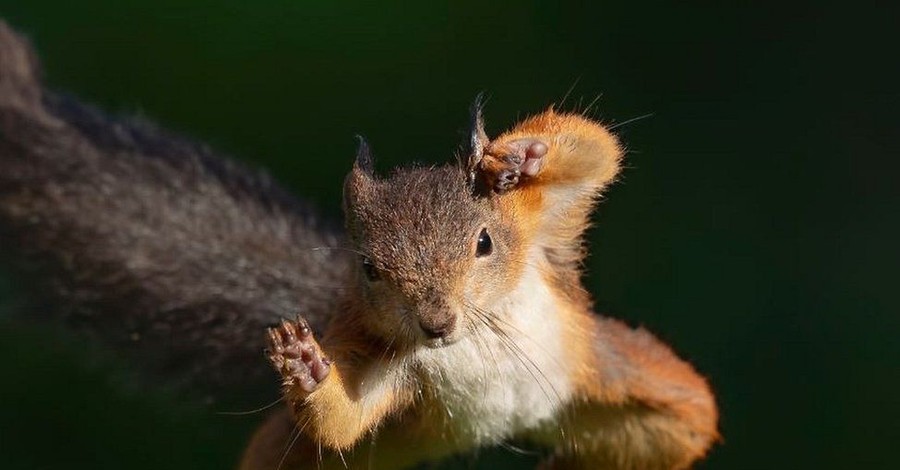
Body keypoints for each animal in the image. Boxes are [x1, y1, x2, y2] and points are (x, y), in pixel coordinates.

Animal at [0, 20, 716, 468]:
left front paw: (516, 155)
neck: (471, 335)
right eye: (370, 269)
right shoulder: (380, 360)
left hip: (624, 380)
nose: (435, 324)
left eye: (485, 242)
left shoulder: (542, 232)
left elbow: (596, 150)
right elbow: (345, 415)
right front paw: (307, 369)